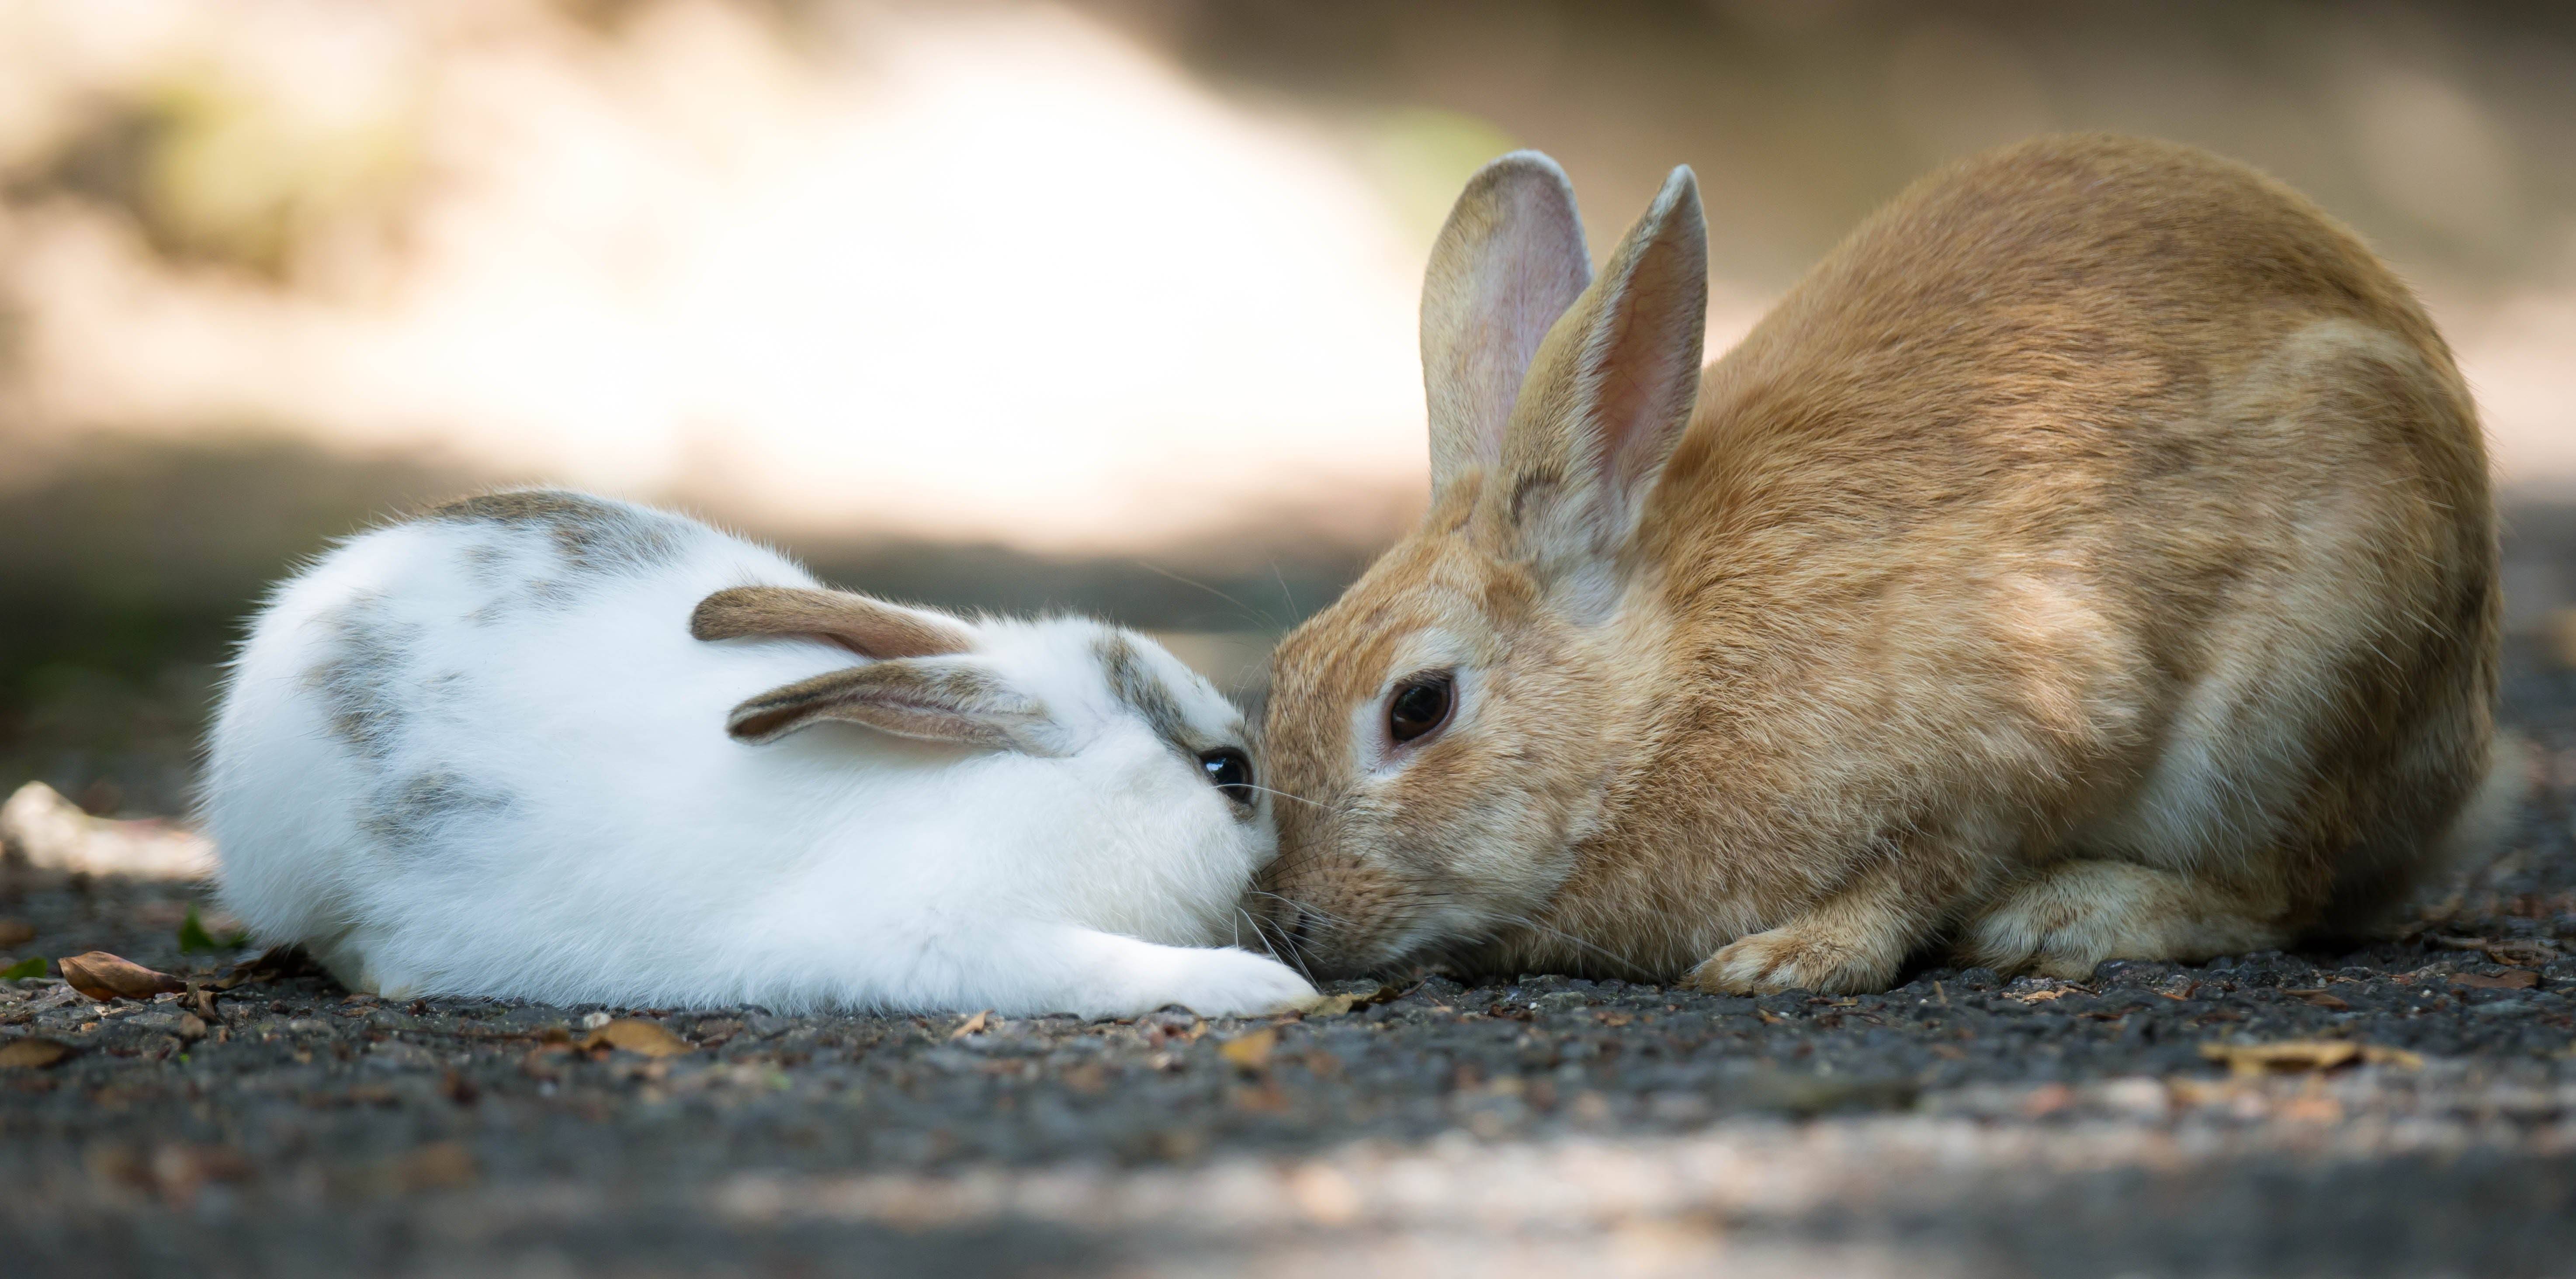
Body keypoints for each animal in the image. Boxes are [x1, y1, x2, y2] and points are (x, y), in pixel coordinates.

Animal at [1257, 130, 2503, 993]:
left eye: (1419, 707)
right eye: (1280, 669)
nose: (1294, 925)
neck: (1658, 697)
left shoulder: (2015, 735)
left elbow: (1920, 872)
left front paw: (1785, 961)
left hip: (2308, 687)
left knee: (2281, 892)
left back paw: (2066, 920)